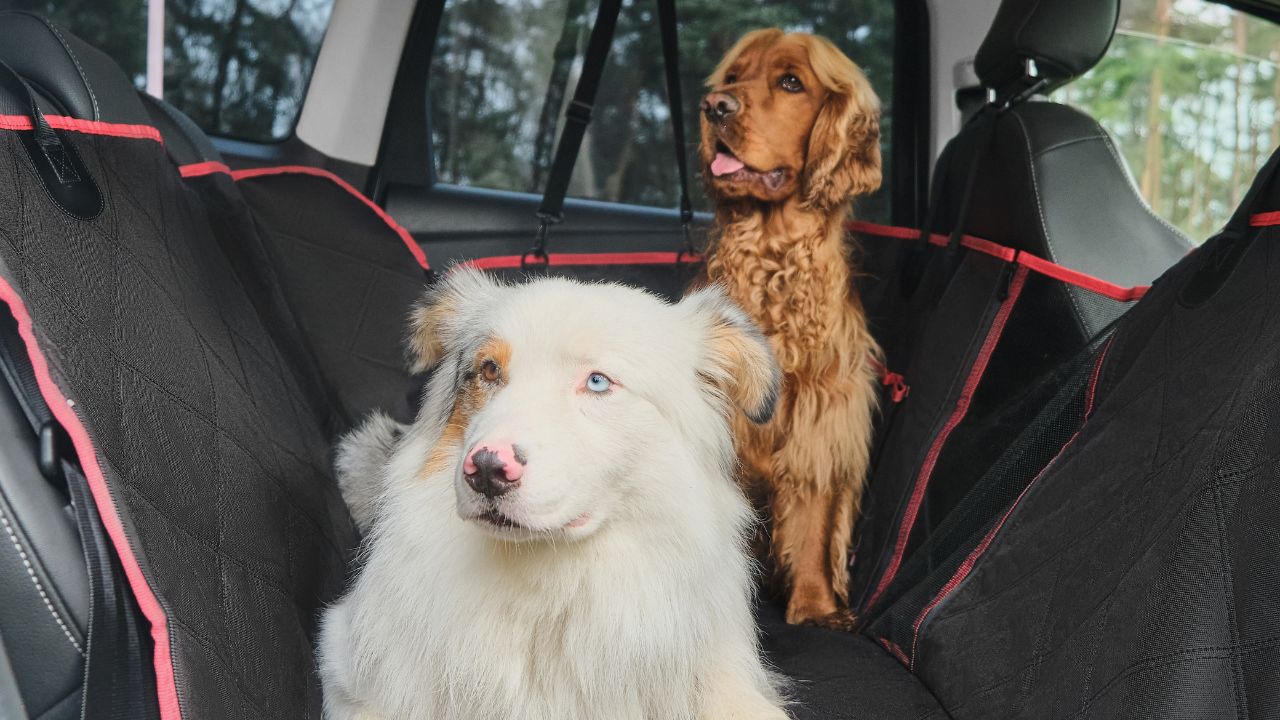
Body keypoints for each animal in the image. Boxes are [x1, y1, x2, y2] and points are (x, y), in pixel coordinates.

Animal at [696, 28, 885, 622]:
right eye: (734, 78)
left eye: (790, 82)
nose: (715, 107)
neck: (771, 253)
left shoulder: (819, 416)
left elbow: (813, 524)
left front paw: (818, 608)